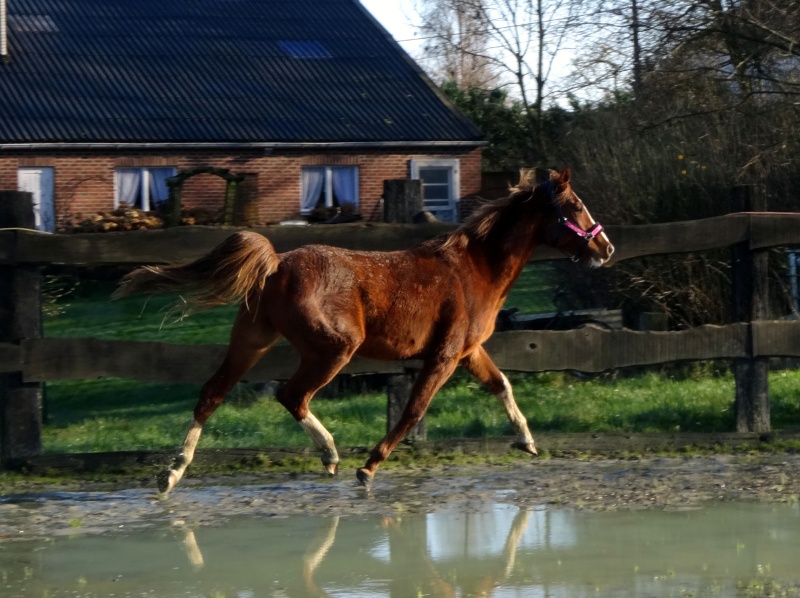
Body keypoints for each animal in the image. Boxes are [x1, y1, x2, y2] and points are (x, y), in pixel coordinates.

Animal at [114, 168, 612, 492]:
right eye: (576, 207)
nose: (606, 248)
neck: (475, 268)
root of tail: (276, 264)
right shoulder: (444, 355)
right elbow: (413, 410)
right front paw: (369, 466)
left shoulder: (469, 352)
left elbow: (501, 384)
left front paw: (527, 441)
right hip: (334, 349)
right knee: (292, 396)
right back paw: (332, 456)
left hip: (252, 340)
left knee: (212, 393)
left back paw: (172, 473)